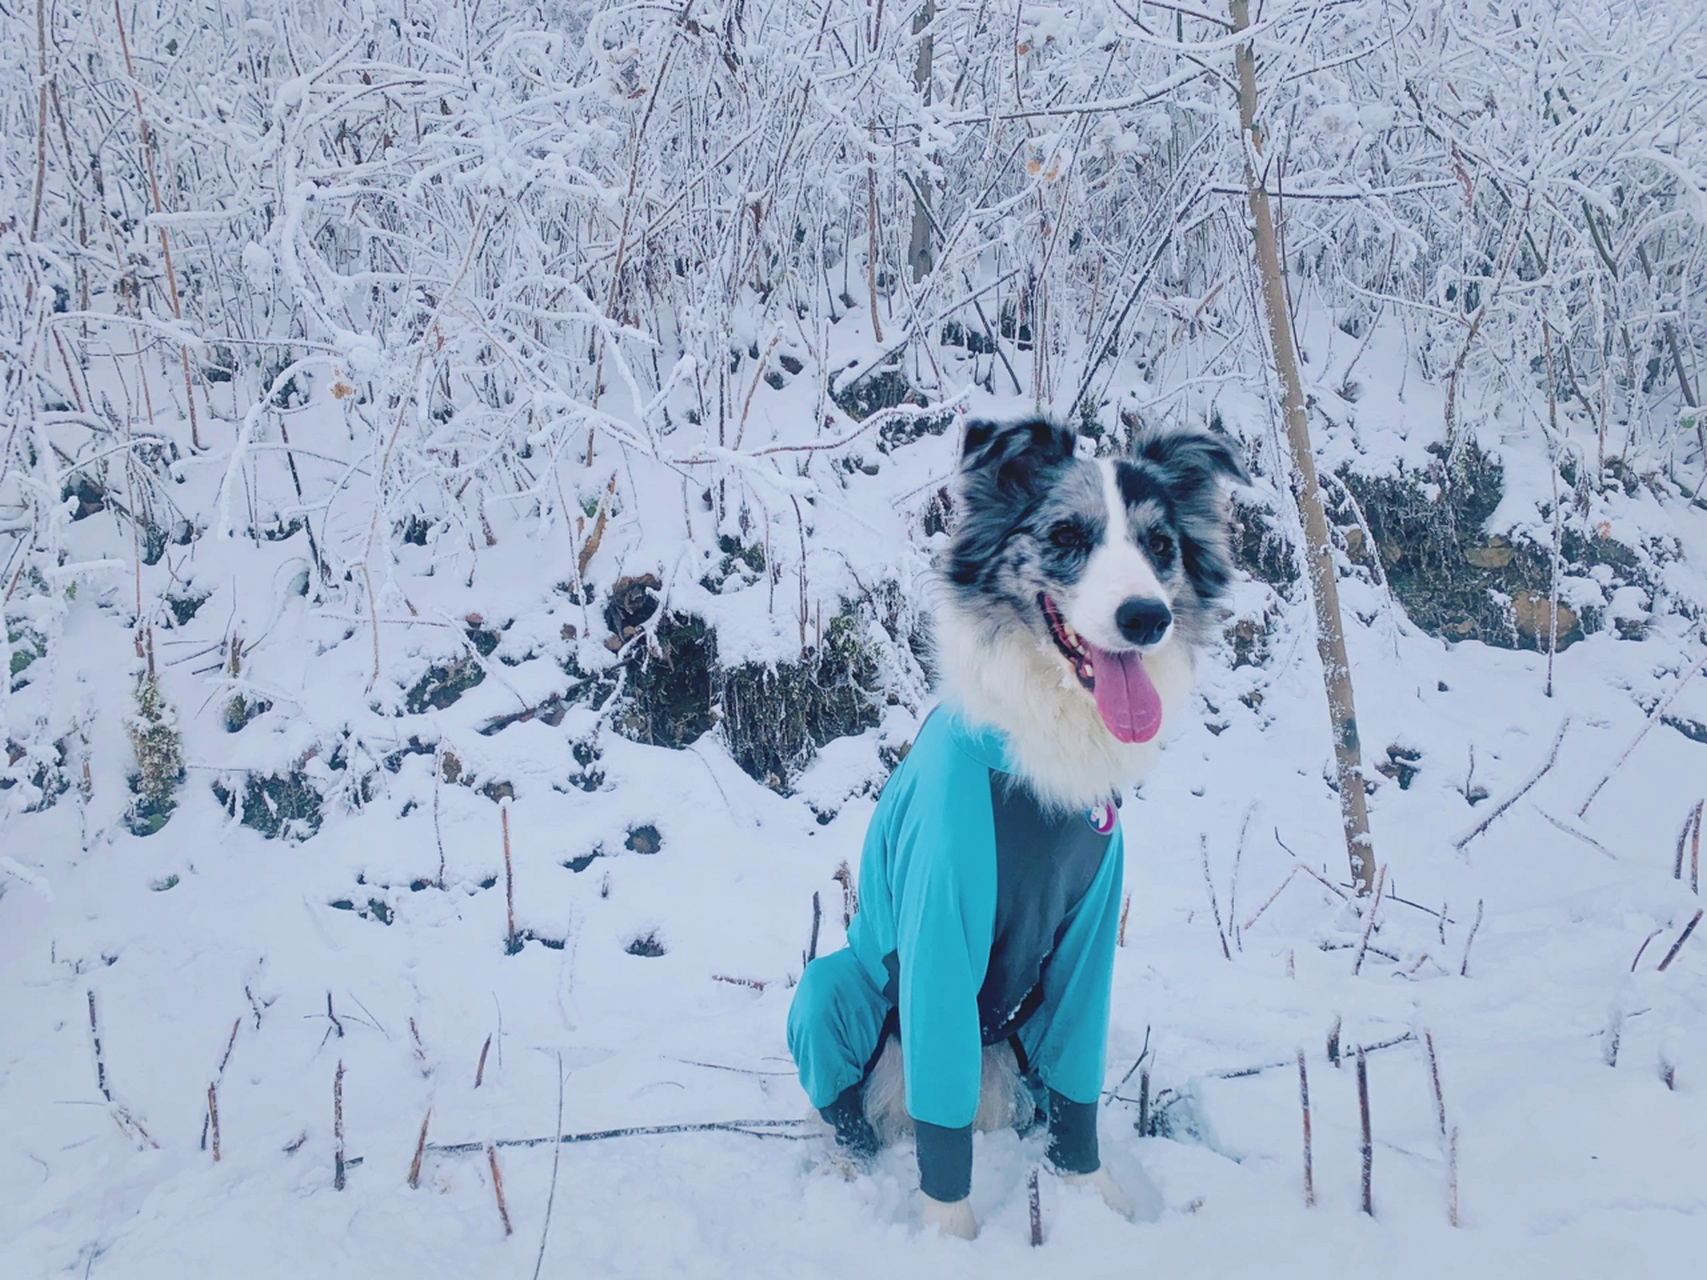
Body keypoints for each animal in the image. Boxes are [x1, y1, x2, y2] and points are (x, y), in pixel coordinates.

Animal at [781, 421, 1242, 1242]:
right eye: (1065, 535)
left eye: (1161, 545)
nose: (1146, 618)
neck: (1042, 758)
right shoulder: (938, 926)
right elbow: (939, 1109)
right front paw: (948, 1234)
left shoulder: (1089, 940)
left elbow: (1076, 1086)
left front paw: (1092, 1194)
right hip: (830, 988)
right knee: (850, 1107)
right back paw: (846, 1168)